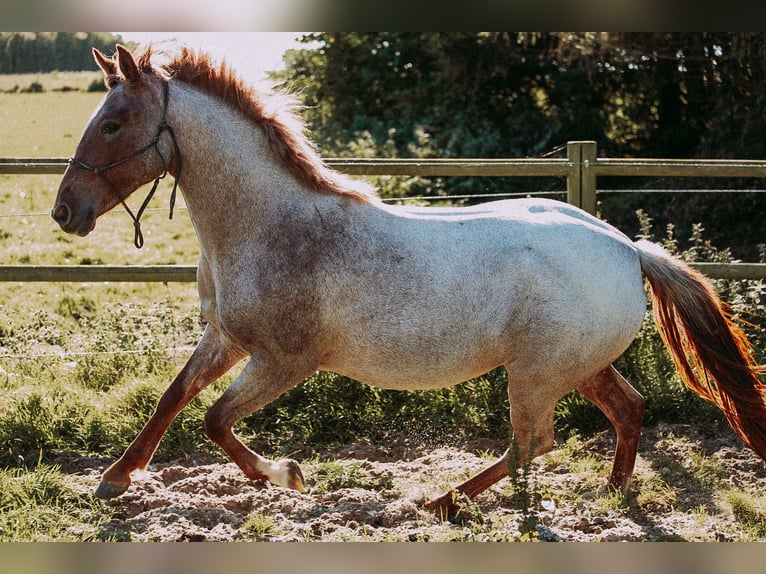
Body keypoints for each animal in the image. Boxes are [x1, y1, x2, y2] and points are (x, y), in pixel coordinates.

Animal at [51, 46, 764, 516]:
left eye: (112, 123)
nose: (64, 211)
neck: (270, 226)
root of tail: (627, 248)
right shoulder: (224, 339)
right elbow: (174, 398)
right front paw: (114, 478)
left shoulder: (285, 360)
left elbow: (215, 420)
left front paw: (287, 476)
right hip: (577, 365)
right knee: (627, 409)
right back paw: (610, 498)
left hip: (536, 372)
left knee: (534, 440)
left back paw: (441, 503)